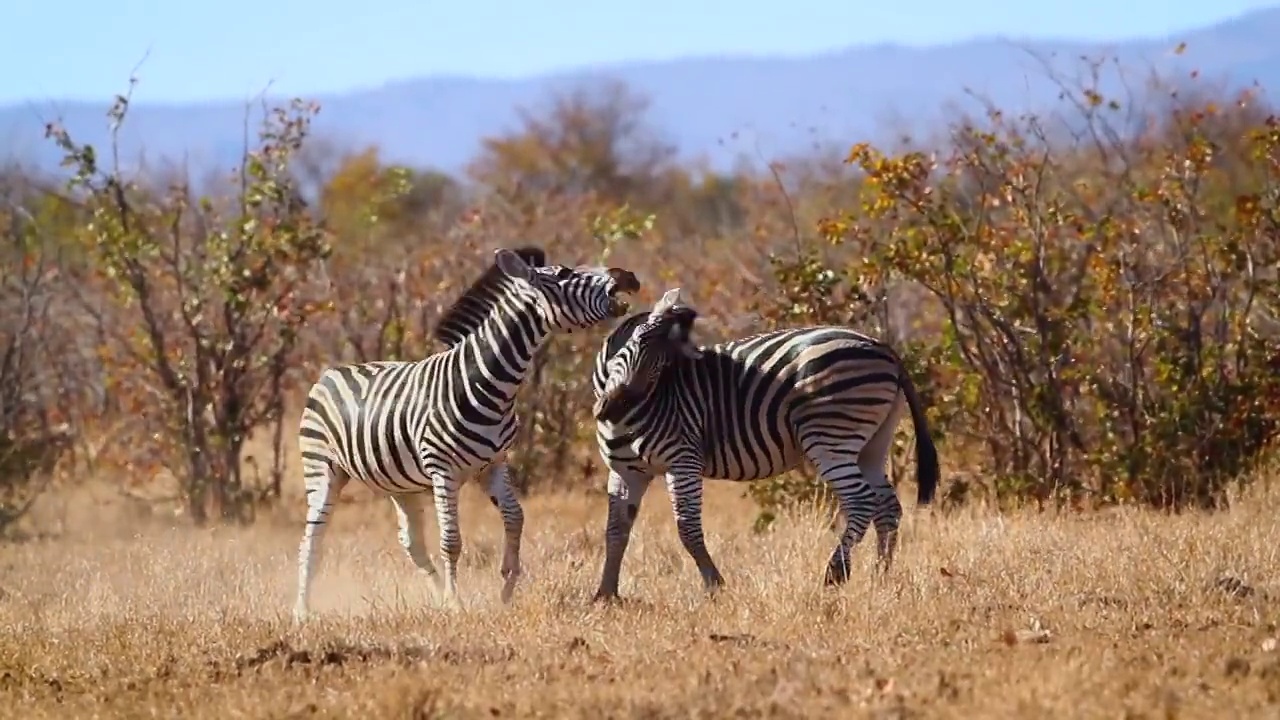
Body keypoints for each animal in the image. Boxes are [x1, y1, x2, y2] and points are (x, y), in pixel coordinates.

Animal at [288, 245, 632, 617]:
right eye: (566, 273)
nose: (626, 276)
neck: (488, 384)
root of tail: (330, 372)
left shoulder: (493, 465)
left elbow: (515, 517)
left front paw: (506, 587)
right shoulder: (444, 470)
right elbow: (451, 540)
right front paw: (456, 603)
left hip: (400, 484)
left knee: (412, 543)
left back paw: (436, 595)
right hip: (322, 468)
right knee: (312, 538)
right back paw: (302, 610)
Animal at [586, 286, 936, 599]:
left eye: (663, 367)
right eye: (637, 343)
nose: (608, 409)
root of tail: (882, 345)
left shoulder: (682, 459)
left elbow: (687, 529)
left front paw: (716, 587)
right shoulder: (626, 472)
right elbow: (615, 531)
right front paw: (605, 594)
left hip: (830, 437)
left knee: (862, 501)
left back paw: (835, 573)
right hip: (873, 443)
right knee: (887, 507)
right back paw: (881, 578)